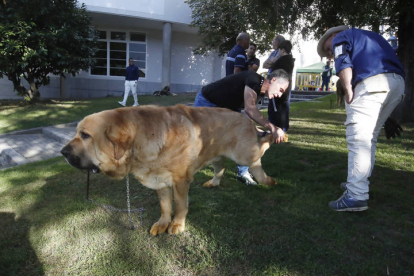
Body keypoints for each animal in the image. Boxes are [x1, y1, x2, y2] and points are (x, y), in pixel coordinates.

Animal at [59, 104, 276, 235]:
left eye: (85, 135)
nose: (63, 152)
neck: (140, 140)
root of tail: (245, 117)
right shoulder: (160, 182)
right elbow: (165, 206)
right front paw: (163, 223)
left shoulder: (180, 182)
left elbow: (179, 205)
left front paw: (177, 224)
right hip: (216, 154)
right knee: (220, 166)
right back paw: (214, 182)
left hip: (245, 154)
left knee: (260, 152)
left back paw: (272, 141)